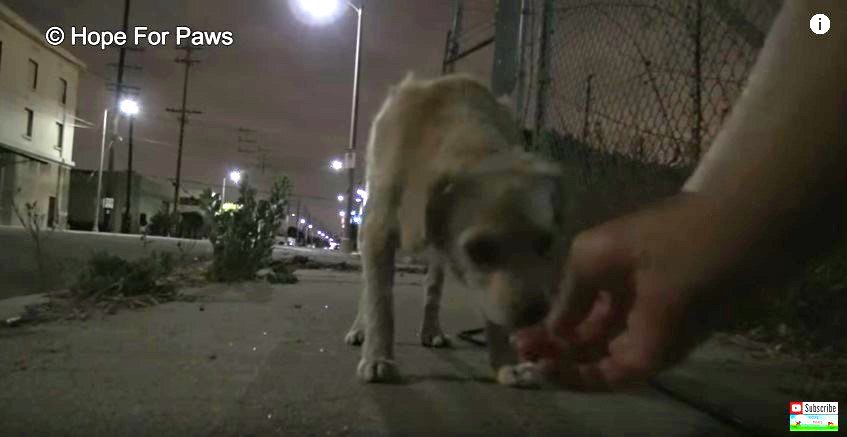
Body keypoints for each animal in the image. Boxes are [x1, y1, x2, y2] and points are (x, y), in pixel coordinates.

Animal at [342, 73, 568, 386]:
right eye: (479, 249)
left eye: (545, 243)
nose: (536, 313)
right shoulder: (378, 231)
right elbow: (379, 301)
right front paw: (378, 357)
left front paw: (506, 363)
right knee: (369, 287)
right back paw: (359, 329)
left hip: (438, 257)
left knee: (433, 289)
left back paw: (431, 330)